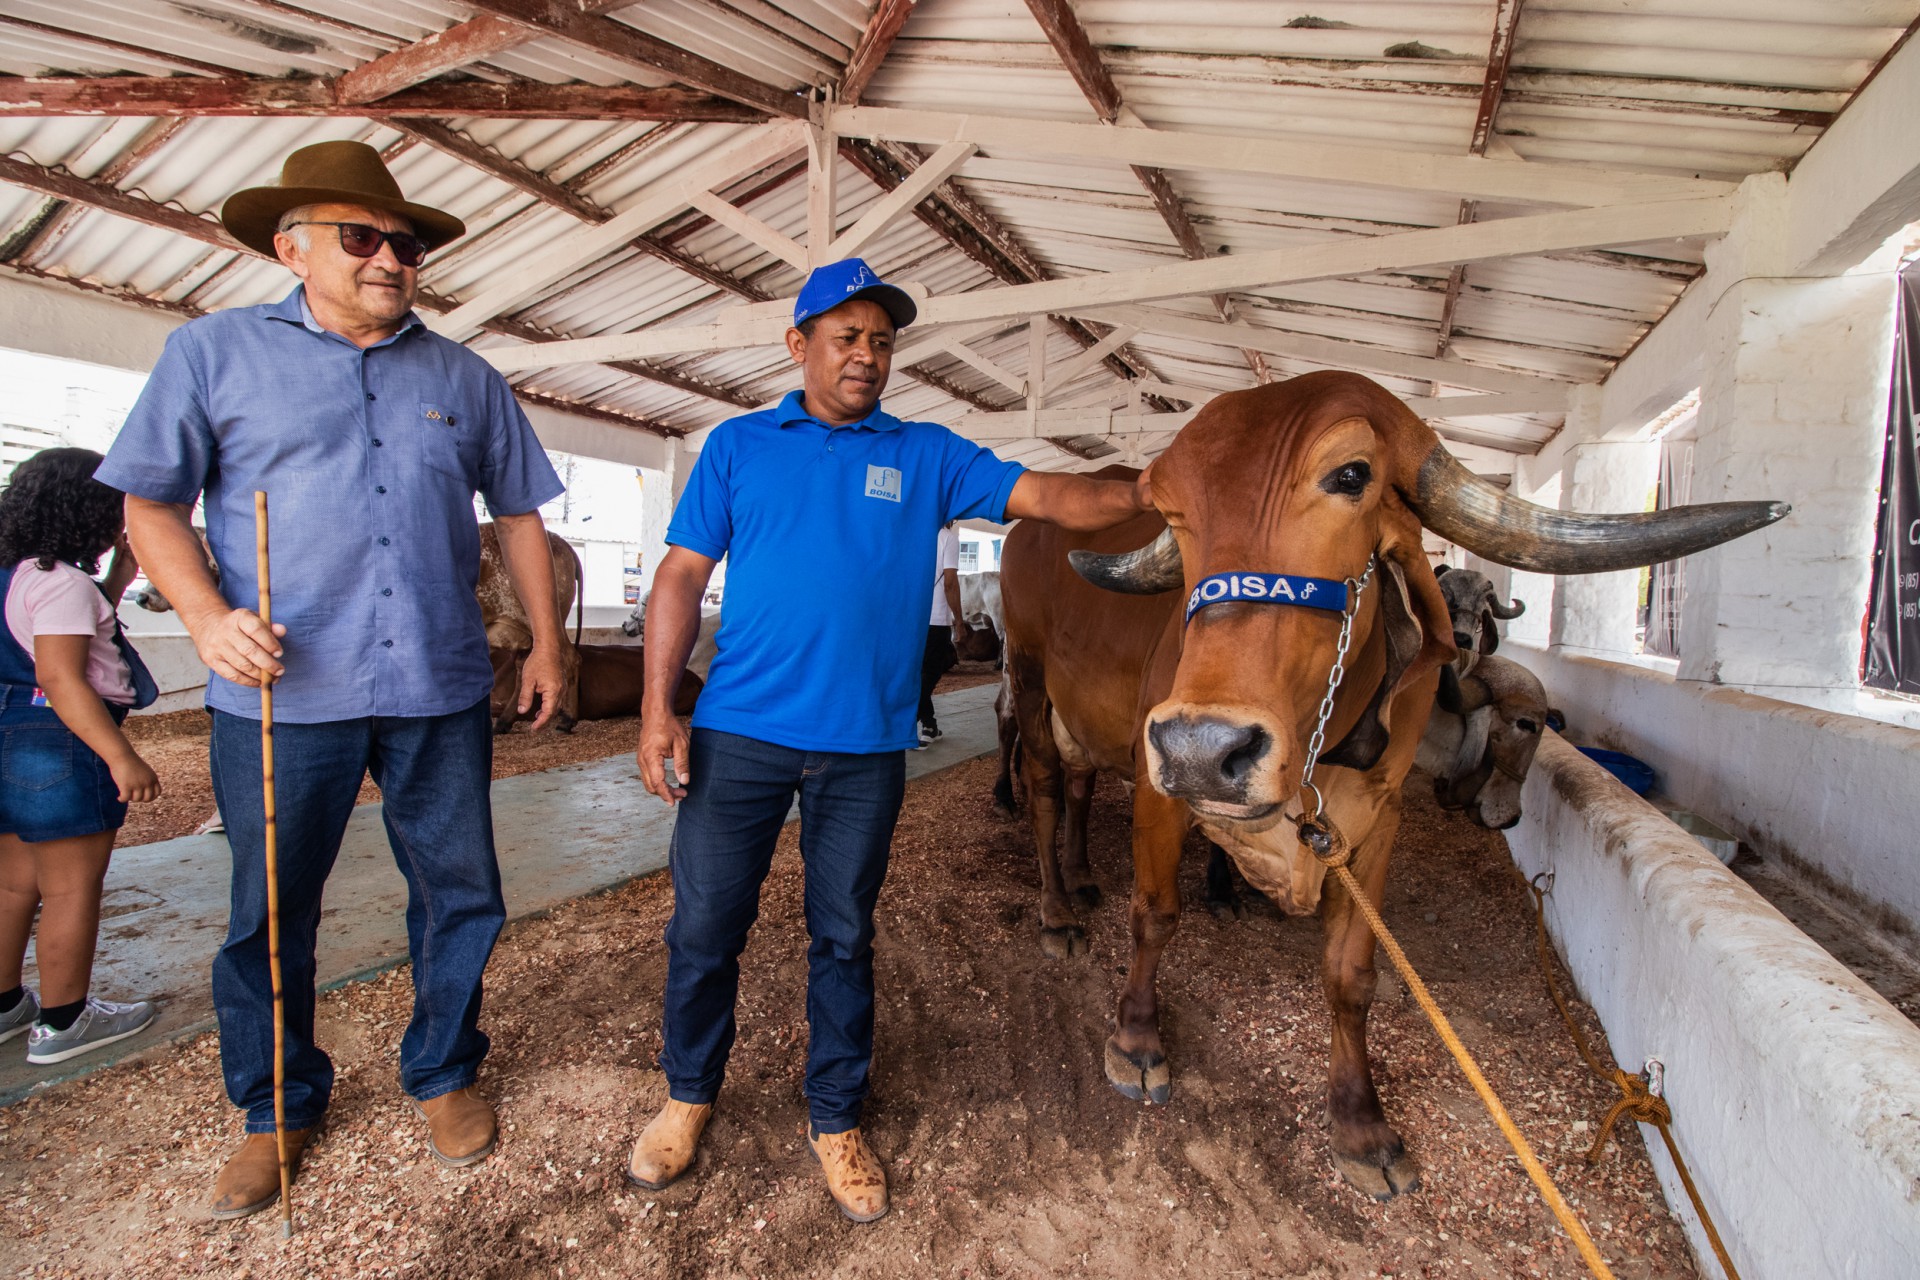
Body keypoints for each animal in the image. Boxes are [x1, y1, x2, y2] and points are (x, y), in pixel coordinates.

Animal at [1006, 370, 1781, 1205]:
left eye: (1352, 475)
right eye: (1175, 511)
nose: (1202, 749)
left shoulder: (1374, 823)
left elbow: (1352, 976)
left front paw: (1361, 1127)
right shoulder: (1162, 795)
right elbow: (1155, 916)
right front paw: (1137, 1040)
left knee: (1079, 785)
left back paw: (1088, 878)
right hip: (1030, 679)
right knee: (1046, 790)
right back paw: (1059, 911)